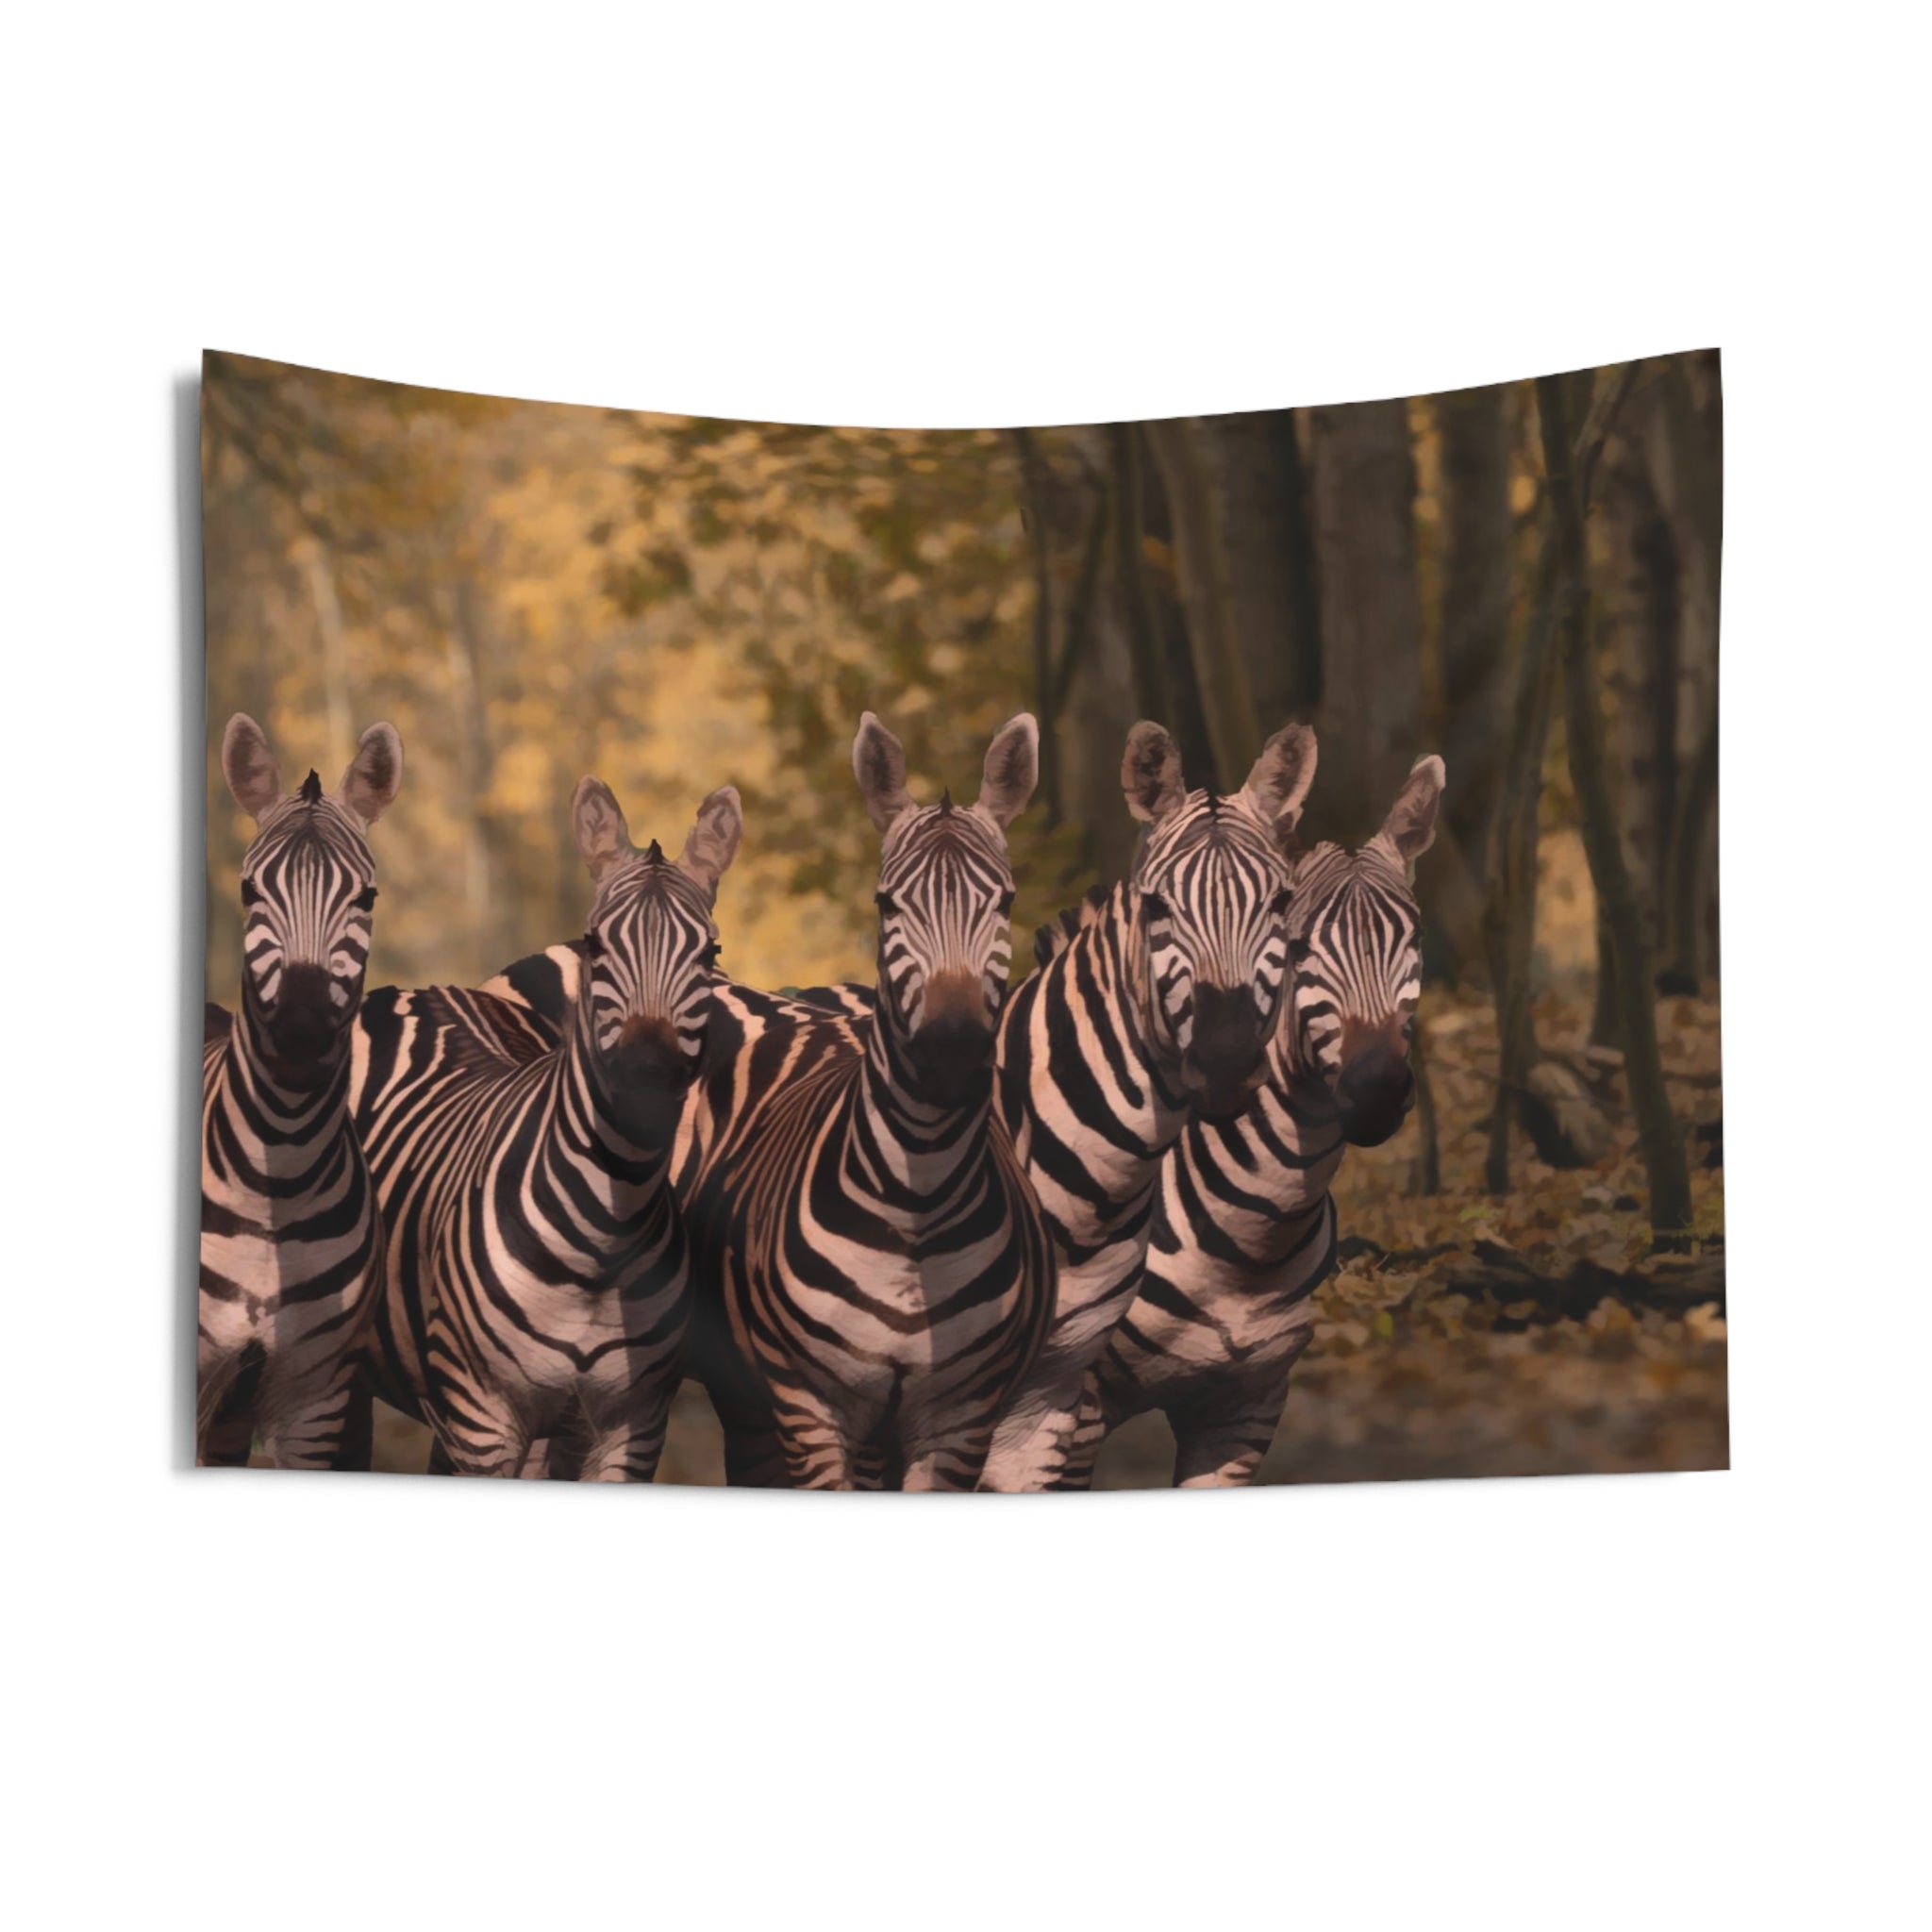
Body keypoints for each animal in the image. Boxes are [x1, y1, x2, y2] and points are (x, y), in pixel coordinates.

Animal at [347, 778, 742, 1479]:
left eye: (709, 952)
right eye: (596, 944)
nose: (647, 1073)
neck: (603, 1237)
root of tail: (424, 990)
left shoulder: (631, 1426)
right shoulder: (484, 1422)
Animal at [671, 712, 1054, 1490]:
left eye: (1005, 901)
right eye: (887, 903)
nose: (950, 1051)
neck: (918, 1204)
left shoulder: (960, 1420)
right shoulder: (811, 1407)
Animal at [1059, 754, 1446, 1488]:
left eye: (1413, 940)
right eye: (1296, 946)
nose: (1378, 1088)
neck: (1251, 1239)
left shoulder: (1245, 1408)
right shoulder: (1070, 1408)